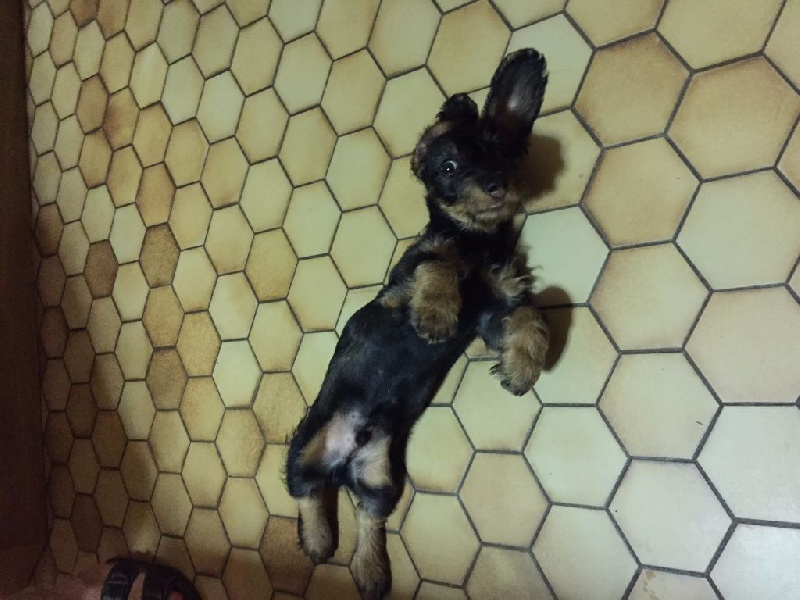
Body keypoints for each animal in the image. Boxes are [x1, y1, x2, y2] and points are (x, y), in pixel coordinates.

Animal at [285, 49, 550, 599]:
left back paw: (369, 571)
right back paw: (318, 542)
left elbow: (530, 315)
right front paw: (435, 314)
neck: (475, 242)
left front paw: (523, 368)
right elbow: (437, 264)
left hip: (383, 478)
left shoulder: (494, 311)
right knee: (305, 490)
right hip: (303, 447)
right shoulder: (399, 291)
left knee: (368, 517)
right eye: (448, 167)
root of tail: (344, 460)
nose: (496, 187)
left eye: (500, 156)